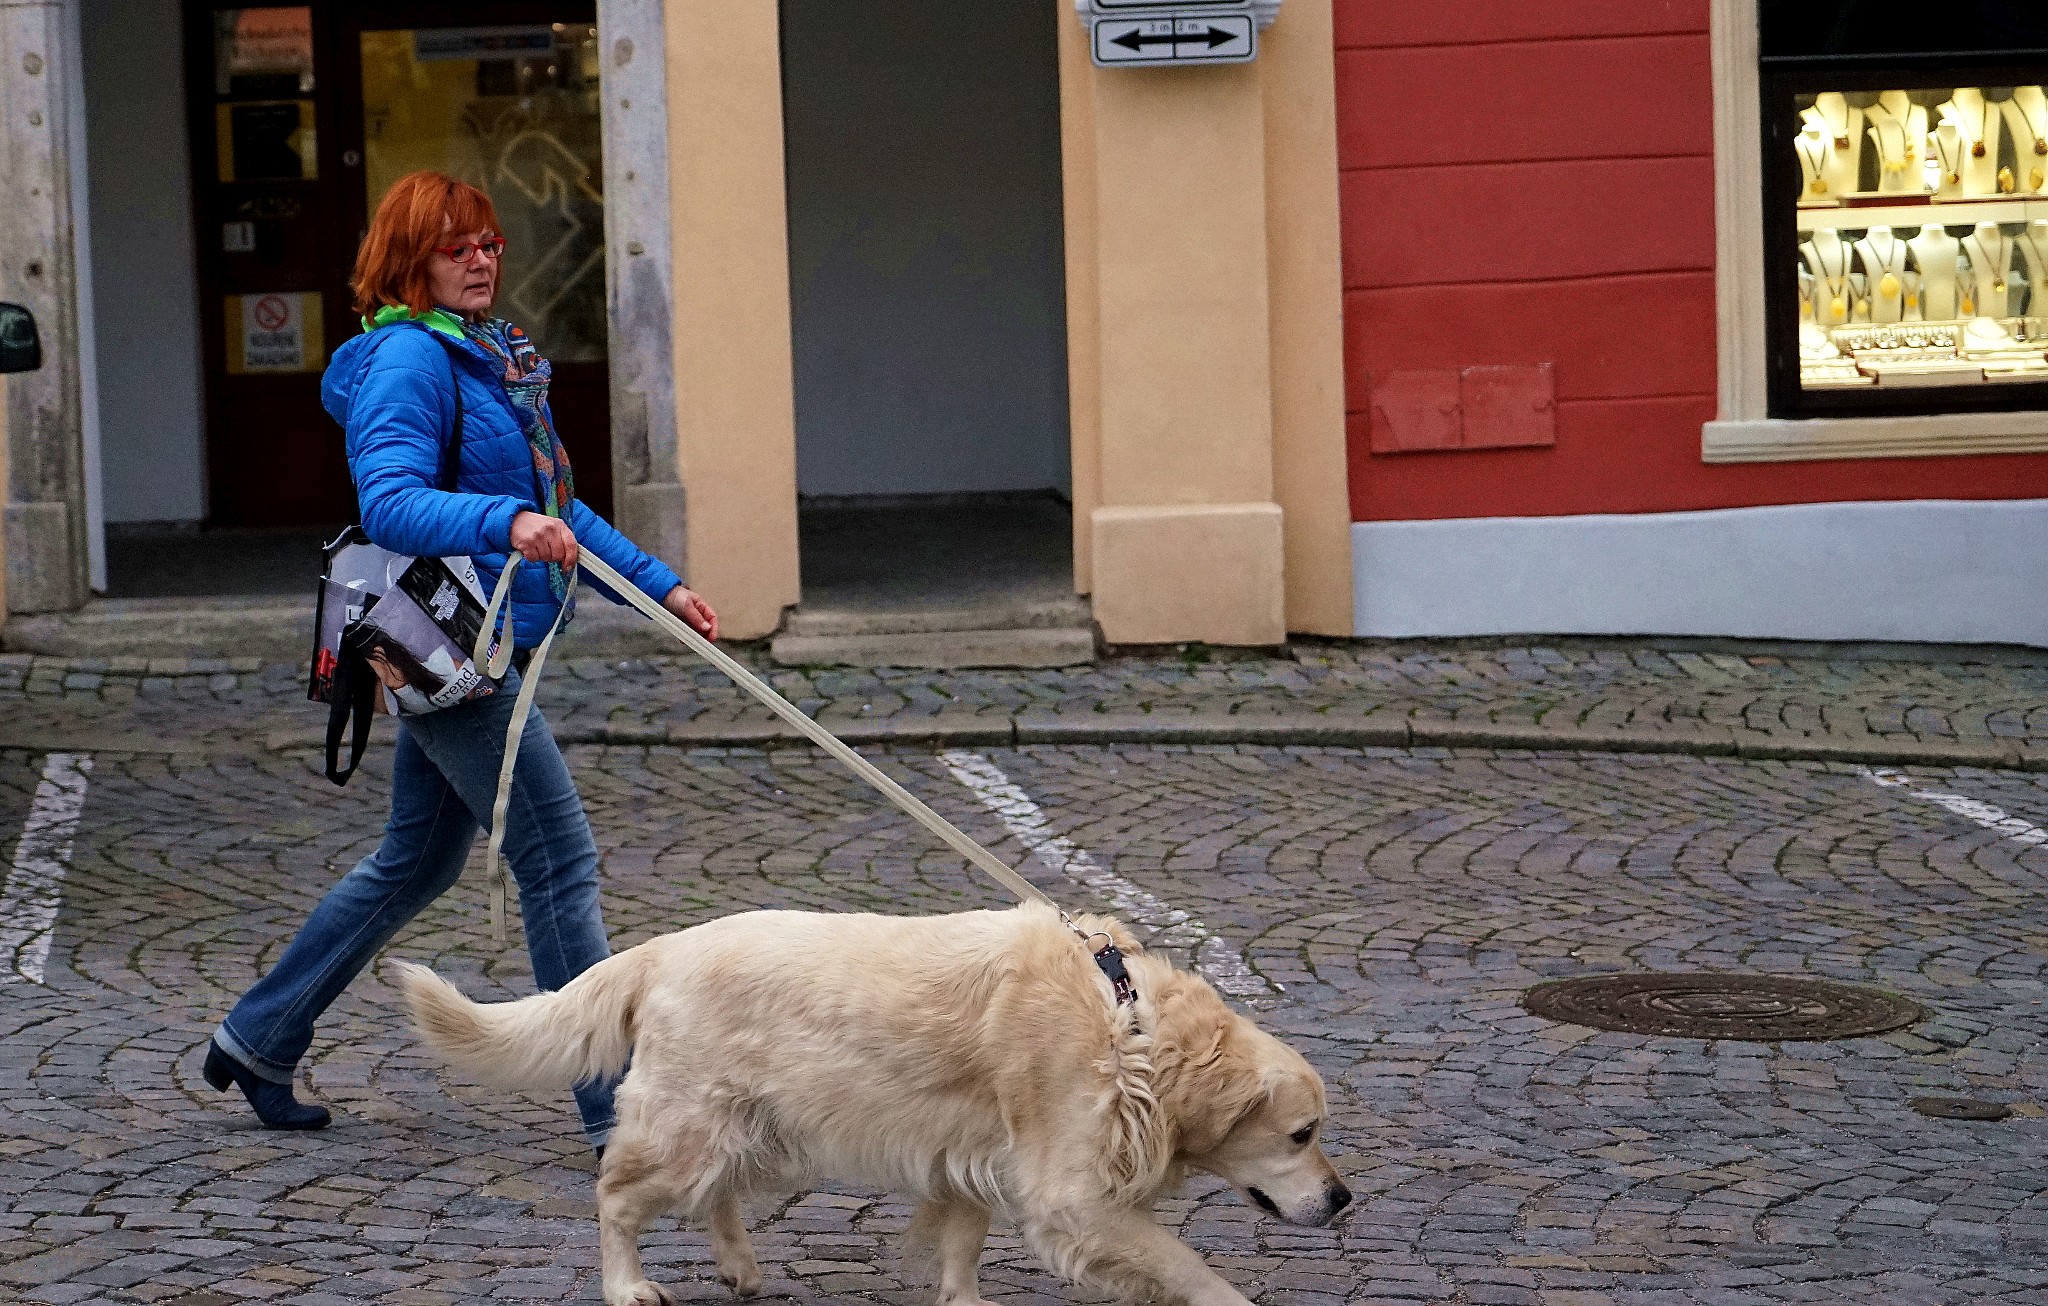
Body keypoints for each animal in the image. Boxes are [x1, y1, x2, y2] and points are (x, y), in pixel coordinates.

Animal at [395, 908, 1359, 1306]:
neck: (1130, 1025)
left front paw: (964, 1303)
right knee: (616, 1198)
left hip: (754, 1127)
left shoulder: (976, 1157)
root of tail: (659, 948)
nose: (1345, 1200)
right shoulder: (1072, 1198)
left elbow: (962, 1245)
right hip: (688, 1127)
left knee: (716, 1198)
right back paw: (627, 1285)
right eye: (1302, 1134)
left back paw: (741, 1270)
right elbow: (1189, 1266)